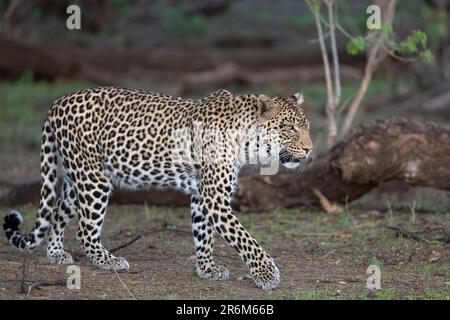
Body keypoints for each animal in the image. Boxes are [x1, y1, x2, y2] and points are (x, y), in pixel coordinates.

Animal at [3, 87, 312, 290]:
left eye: (306, 126)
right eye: (289, 128)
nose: (310, 149)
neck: (247, 140)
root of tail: (58, 102)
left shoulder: (201, 194)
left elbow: (203, 234)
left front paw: (207, 269)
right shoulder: (214, 197)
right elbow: (245, 239)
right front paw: (266, 274)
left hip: (75, 178)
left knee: (57, 212)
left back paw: (56, 254)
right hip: (94, 180)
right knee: (84, 231)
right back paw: (109, 261)